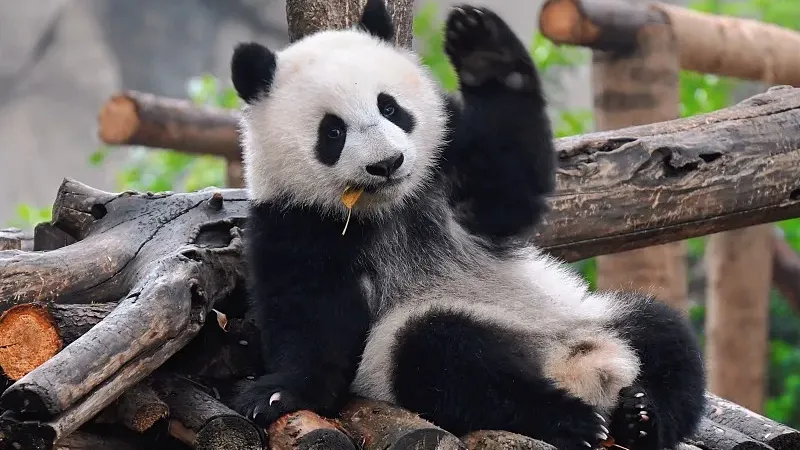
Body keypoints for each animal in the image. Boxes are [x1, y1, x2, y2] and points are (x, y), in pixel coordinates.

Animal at [228, 1, 707, 450]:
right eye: (333, 132)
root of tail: (577, 369)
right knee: (448, 360)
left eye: (390, 107)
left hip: (584, 315)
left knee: (664, 335)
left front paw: (483, 50)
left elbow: (509, 190)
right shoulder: (298, 221)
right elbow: (309, 312)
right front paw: (278, 393)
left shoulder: (451, 168)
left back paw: (642, 416)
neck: (391, 207)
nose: (387, 163)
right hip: (408, 351)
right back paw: (572, 419)